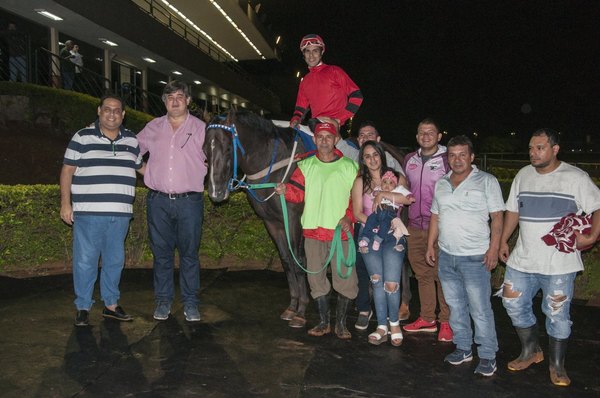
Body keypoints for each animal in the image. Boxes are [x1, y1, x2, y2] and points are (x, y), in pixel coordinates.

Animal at [205, 110, 312, 328]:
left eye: (228, 148)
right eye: (204, 150)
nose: (215, 192)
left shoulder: (294, 220)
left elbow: (298, 260)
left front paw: (301, 310)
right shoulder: (273, 223)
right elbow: (286, 260)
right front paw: (292, 306)